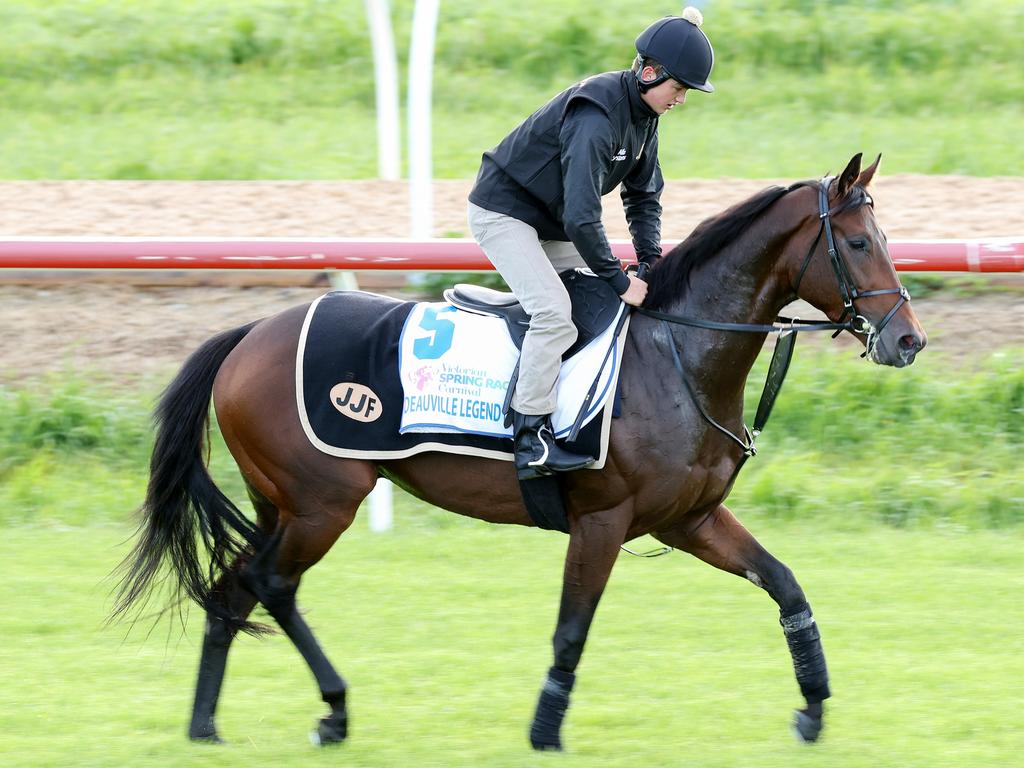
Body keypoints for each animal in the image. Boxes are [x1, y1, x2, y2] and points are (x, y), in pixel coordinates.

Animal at [112, 154, 929, 753]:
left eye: (887, 241)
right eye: (859, 243)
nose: (908, 339)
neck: (676, 354)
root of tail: (247, 335)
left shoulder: (689, 519)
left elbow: (786, 587)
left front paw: (814, 709)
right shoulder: (603, 519)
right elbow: (572, 629)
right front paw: (544, 732)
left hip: (280, 502)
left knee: (232, 588)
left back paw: (205, 725)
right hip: (323, 502)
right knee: (273, 584)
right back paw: (334, 710)